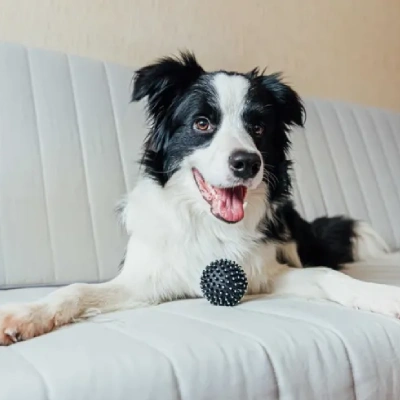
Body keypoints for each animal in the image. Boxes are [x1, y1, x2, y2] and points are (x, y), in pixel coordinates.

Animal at [1, 51, 398, 346]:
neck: (209, 225)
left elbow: (330, 277)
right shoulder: (146, 280)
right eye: (202, 123)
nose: (247, 163)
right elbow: (76, 290)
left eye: (258, 128)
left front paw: (383, 296)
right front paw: (26, 314)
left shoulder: (266, 272)